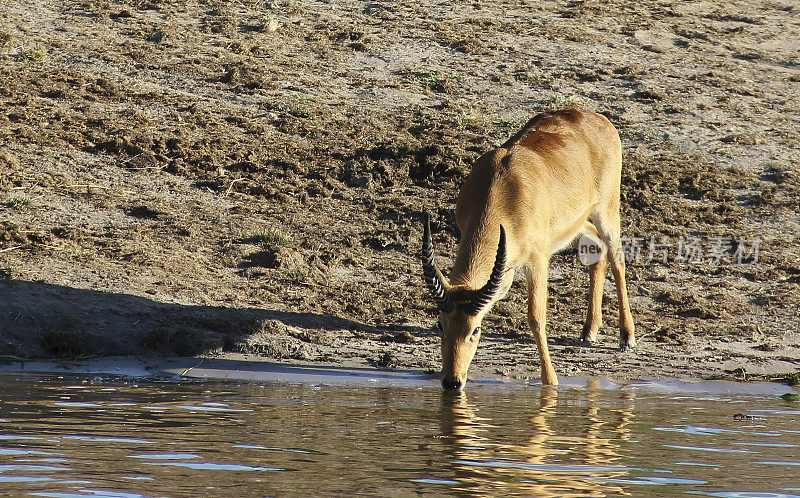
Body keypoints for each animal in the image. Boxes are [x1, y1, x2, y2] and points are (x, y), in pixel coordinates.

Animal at [422, 108, 636, 390]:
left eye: (475, 329)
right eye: (440, 325)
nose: (452, 381)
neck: (503, 189)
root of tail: (595, 116)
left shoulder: (538, 259)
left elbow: (536, 318)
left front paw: (551, 381)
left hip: (607, 210)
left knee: (617, 257)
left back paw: (627, 337)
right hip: (578, 223)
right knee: (597, 250)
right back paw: (589, 330)